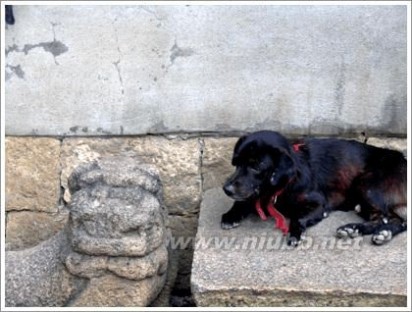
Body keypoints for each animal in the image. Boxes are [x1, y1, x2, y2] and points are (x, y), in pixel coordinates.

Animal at [222, 130, 406, 246]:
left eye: (256, 166)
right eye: (236, 163)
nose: (226, 189)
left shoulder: (319, 204)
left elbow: (298, 218)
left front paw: (296, 233)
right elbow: (243, 201)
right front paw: (231, 214)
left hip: (366, 186)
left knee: (386, 218)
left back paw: (367, 230)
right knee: (396, 220)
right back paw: (370, 231)